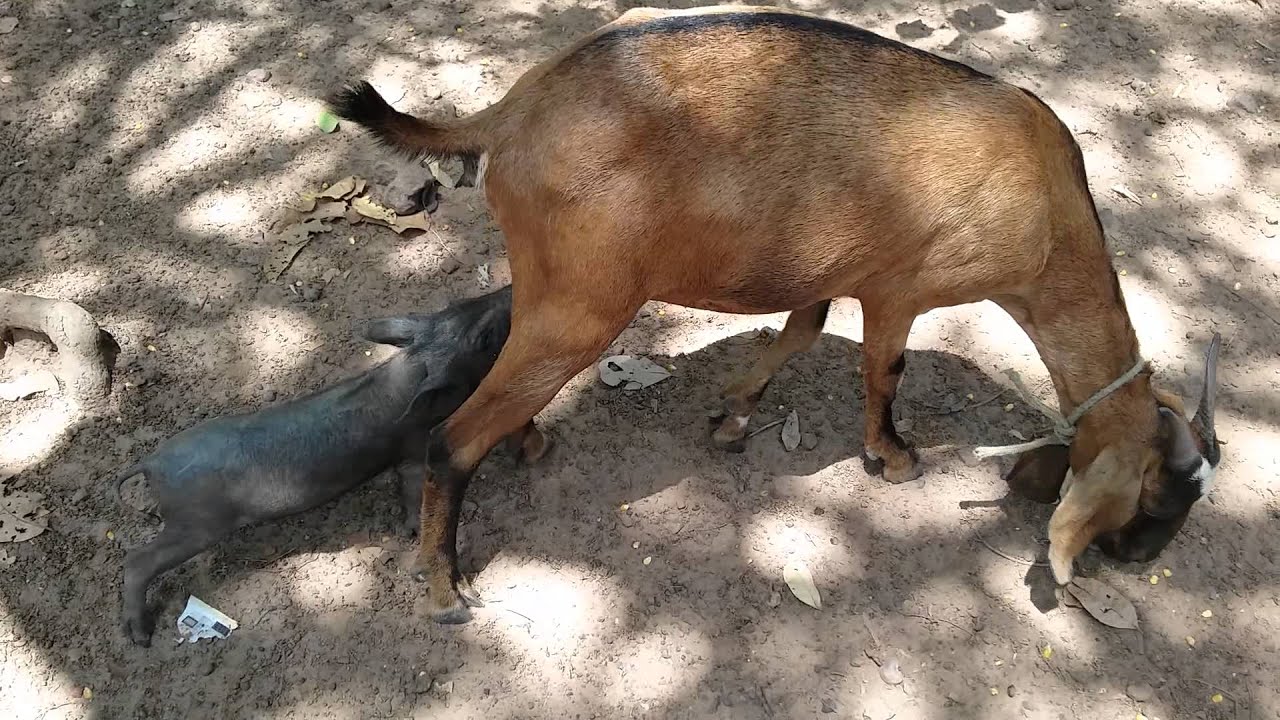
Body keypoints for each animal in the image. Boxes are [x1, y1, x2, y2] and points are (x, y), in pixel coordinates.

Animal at [328, 5, 1223, 623]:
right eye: (1153, 502)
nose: (1137, 560)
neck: (1046, 209)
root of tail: (510, 113)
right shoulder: (900, 288)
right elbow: (883, 369)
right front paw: (893, 457)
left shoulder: (826, 270)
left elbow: (802, 330)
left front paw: (734, 413)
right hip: (584, 305)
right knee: (452, 439)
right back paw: (444, 586)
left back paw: (529, 442)